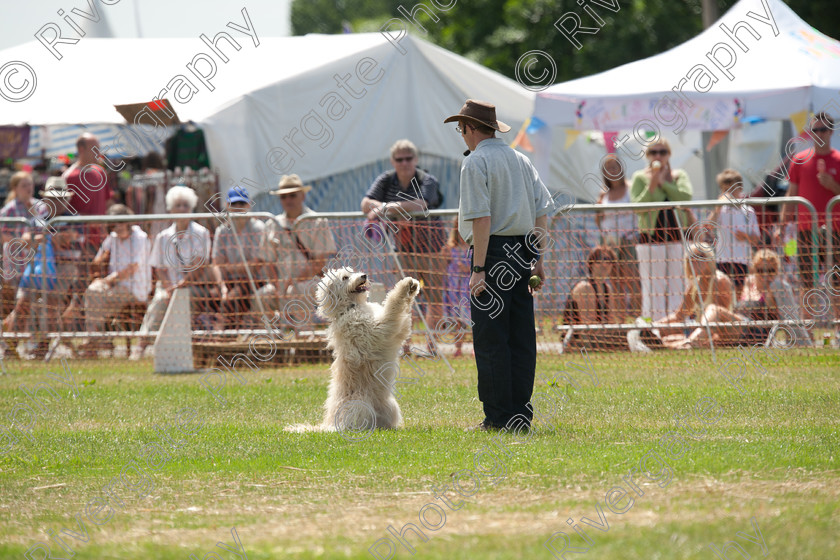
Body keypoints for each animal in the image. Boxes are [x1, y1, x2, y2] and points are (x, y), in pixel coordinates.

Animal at [288, 266, 420, 434]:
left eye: (352, 271)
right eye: (345, 278)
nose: (364, 275)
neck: (351, 308)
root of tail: (329, 424)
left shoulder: (395, 329)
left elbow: (403, 314)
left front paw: (413, 287)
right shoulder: (379, 328)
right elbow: (393, 303)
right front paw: (404, 285)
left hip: (391, 407)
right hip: (358, 405)